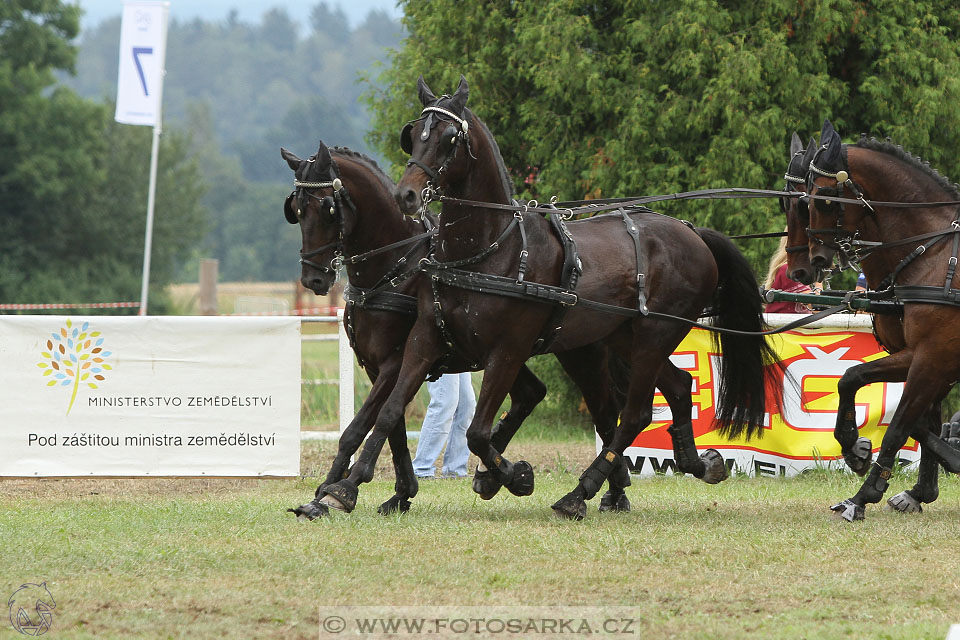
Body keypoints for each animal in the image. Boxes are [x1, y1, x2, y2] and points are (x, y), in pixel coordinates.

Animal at [316, 75, 780, 520]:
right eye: (413, 135)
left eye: (450, 138)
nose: (406, 195)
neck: (489, 251)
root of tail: (692, 232)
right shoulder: (425, 339)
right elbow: (388, 413)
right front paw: (342, 489)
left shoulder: (507, 350)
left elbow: (476, 432)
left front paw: (514, 475)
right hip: (620, 339)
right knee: (678, 388)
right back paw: (695, 463)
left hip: (654, 334)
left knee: (632, 414)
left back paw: (580, 493)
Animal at [780, 131, 944, 516]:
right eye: (789, 203)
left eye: (820, 202)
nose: (803, 269)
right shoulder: (920, 355)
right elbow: (852, 379)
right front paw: (858, 451)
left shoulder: (932, 355)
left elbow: (900, 424)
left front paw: (864, 494)